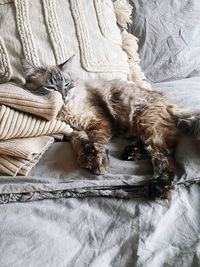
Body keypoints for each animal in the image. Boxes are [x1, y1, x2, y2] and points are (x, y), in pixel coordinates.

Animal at [20, 56, 200, 199]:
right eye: (50, 88)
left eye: (67, 85)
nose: (64, 96)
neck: (66, 111)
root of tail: (168, 103)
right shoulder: (73, 132)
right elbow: (81, 143)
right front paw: (86, 156)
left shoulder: (99, 121)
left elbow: (97, 143)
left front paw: (98, 162)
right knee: (151, 147)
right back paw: (131, 153)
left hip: (145, 122)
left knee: (163, 156)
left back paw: (158, 186)